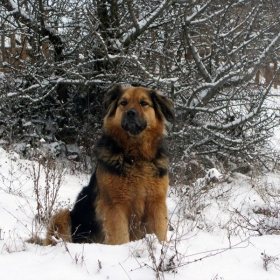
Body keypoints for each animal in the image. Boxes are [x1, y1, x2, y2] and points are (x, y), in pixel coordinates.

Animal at [43, 85, 174, 245]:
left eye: (144, 103)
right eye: (123, 103)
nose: (130, 113)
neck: (136, 157)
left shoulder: (157, 203)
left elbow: (160, 233)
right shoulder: (115, 205)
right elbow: (120, 237)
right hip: (62, 216)